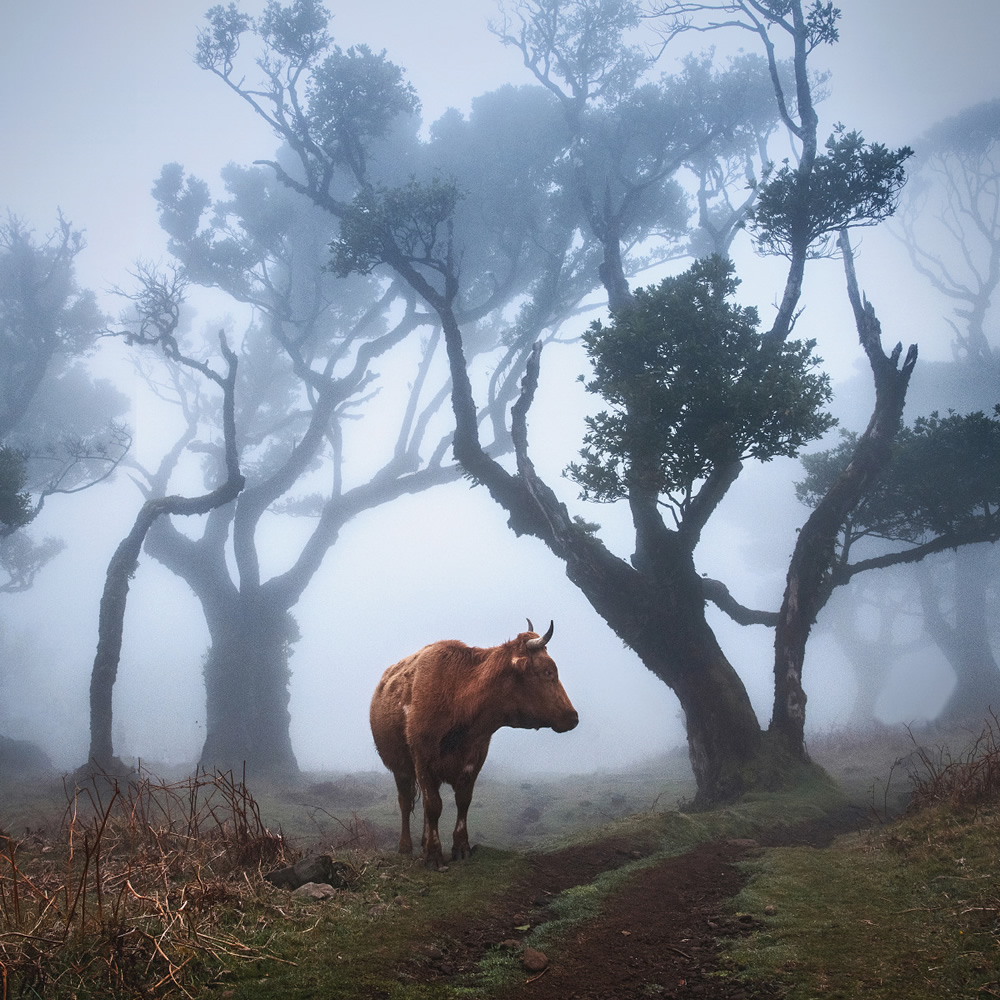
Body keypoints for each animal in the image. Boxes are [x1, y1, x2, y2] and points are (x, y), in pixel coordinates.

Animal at [372, 616, 580, 868]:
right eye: (549, 671)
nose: (573, 717)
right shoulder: (423, 761)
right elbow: (433, 806)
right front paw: (433, 855)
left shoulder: (474, 759)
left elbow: (462, 802)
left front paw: (461, 847)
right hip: (400, 768)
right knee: (405, 802)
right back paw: (406, 847)